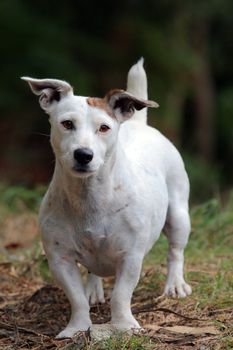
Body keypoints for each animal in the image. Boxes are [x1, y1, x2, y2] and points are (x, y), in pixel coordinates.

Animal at [22, 59, 191, 340]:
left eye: (104, 128)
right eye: (67, 124)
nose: (83, 154)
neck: (89, 196)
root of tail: (139, 123)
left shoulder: (130, 257)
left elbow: (121, 296)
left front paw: (124, 325)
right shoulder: (60, 259)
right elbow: (76, 298)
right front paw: (77, 328)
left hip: (178, 214)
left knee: (175, 252)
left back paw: (175, 285)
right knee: (93, 272)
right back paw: (93, 289)